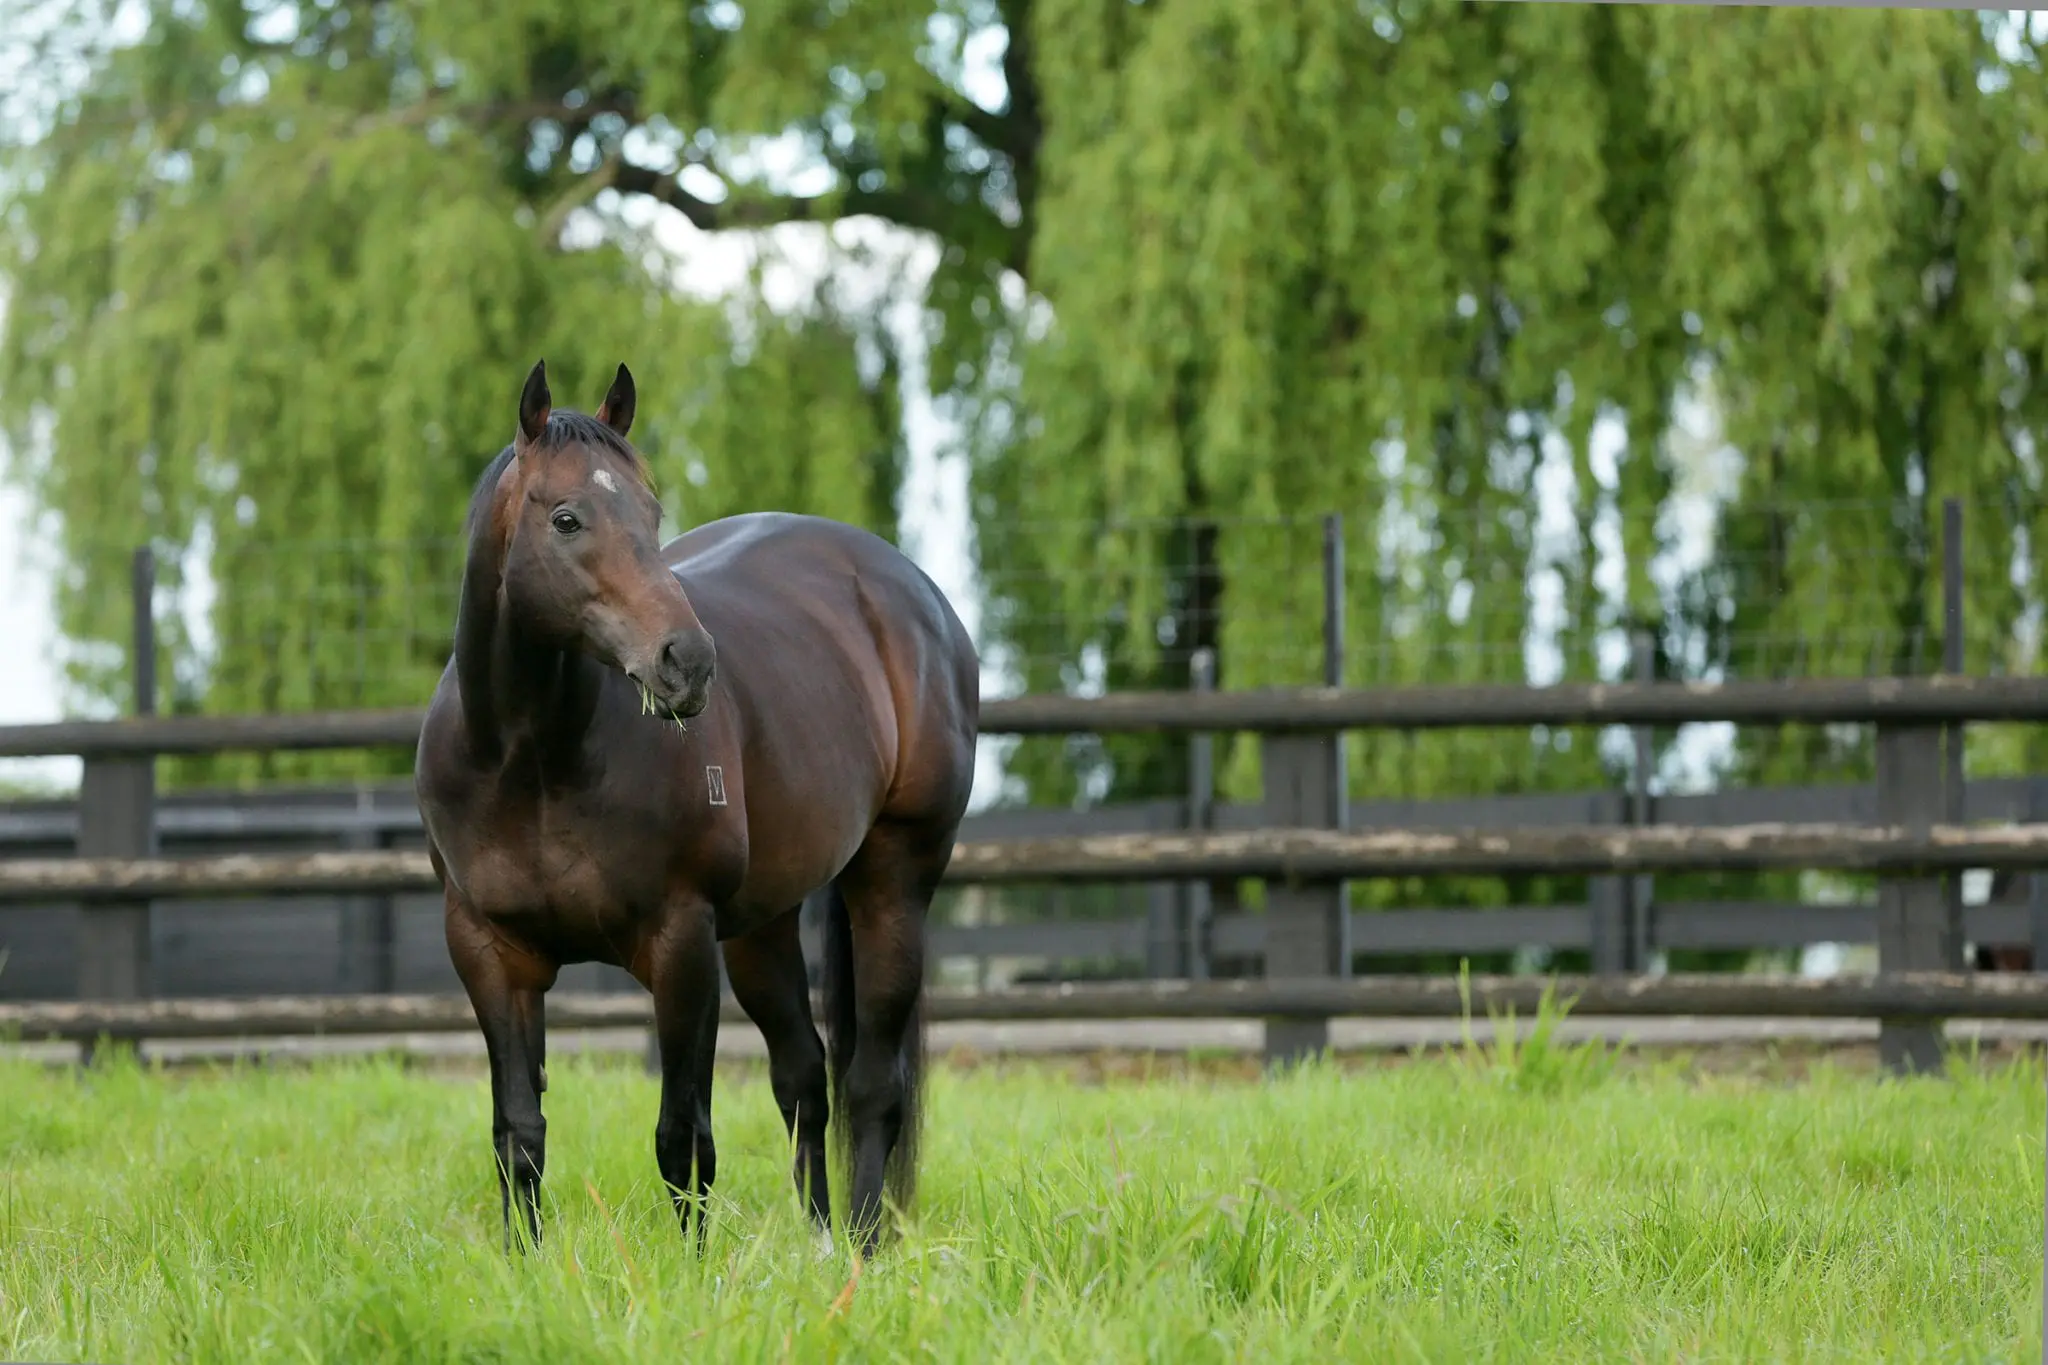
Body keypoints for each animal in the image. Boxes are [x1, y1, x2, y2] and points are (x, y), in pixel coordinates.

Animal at [413, 358, 974, 1252]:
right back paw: (819, 1242)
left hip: (893, 878)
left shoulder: (679, 942)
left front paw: (691, 1268)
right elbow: (519, 1130)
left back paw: (859, 1246)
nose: (688, 661)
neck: (530, 762)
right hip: (761, 926)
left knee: (871, 1082)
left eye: (651, 513)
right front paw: (522, 1262)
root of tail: (912, 593)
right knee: (803, 1076)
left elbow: (683, 1134)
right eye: (566, 518)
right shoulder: (489, 951)